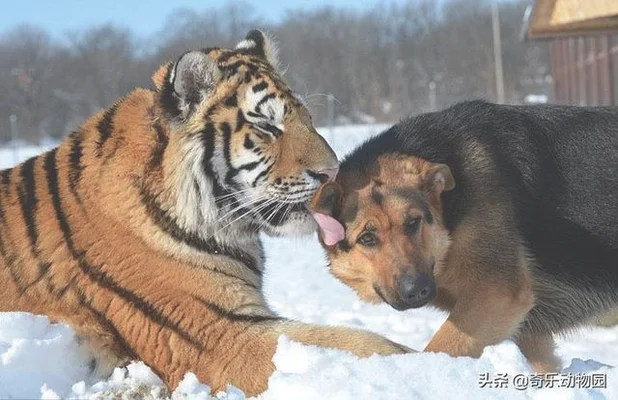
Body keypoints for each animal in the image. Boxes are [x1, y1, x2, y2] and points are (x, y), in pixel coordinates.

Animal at [310, 100, 616, 372]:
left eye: (413, 223)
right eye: (367, 238)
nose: (416, 290)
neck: (449, 219)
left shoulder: (495, 294)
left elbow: (438, 349)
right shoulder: (528, 330)